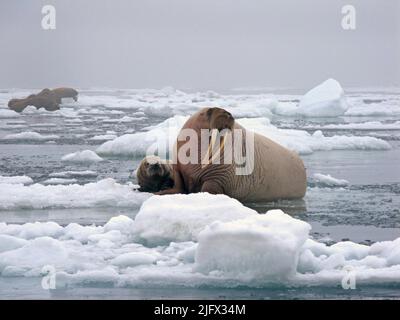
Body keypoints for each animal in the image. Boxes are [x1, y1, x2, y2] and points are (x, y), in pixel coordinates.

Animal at [158, 107, 308, 202]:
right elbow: (178, 184)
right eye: (209, 111)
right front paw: (161, 192)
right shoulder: (178, 167)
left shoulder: (219, 176)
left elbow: (210, 188)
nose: (227, 113)